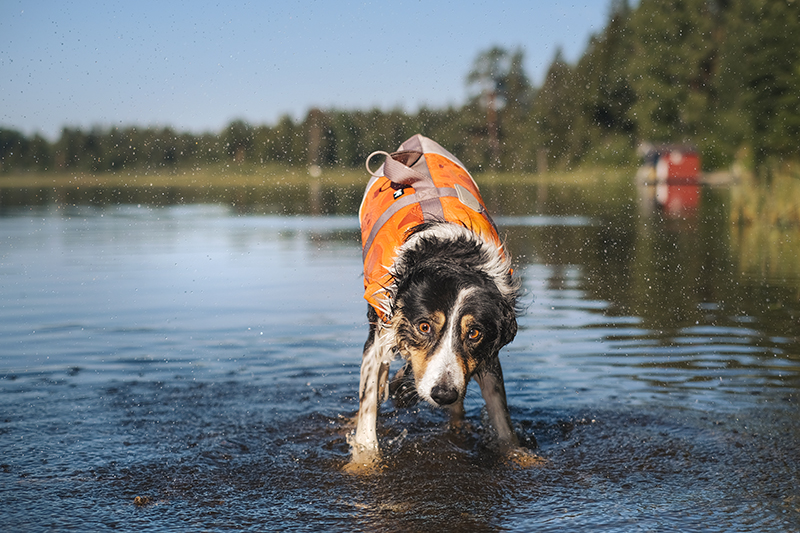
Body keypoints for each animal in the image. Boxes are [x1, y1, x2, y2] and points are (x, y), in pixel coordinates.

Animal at [346, 134, 528, 470]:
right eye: (424, 326)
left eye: (474, 333)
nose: (442, 394)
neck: (450, 257)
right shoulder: (380, 334)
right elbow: (368, 407)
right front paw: (364, 461)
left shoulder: (485, 356)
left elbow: (501, 416)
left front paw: (518, 454)